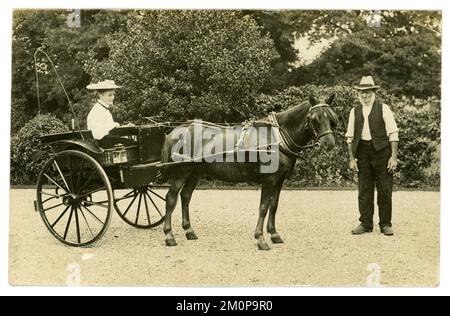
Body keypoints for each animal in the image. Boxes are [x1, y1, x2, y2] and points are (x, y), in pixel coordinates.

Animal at [159, 93, 338, 249]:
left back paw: (189, 231)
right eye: (314, 119)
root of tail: (175, 131)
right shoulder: (268, 180)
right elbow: (263, 207)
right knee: (171, 199)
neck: (277, 137)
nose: (329, 143)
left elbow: (274, 205)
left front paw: (274, 234)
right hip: (180, 173)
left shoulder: (280, 180)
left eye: (332, 118)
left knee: (185, 196)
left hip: (194, 173)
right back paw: (169, 236)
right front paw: (260, 238)